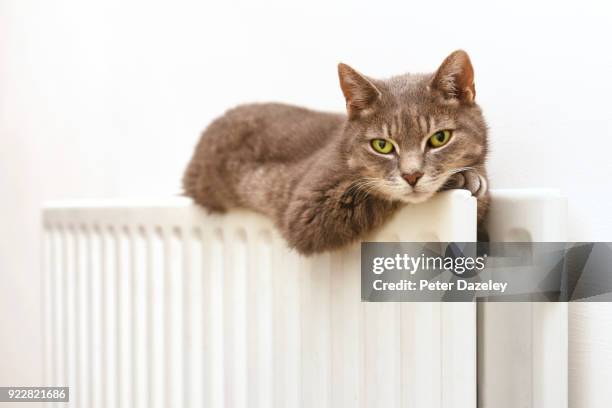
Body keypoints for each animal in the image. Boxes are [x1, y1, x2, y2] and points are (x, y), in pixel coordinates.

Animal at [184, 49, 490, 253]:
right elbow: (375, 192)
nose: (412, 175)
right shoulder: (307, 207)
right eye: (382, 145)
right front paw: (463, 178)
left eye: (439, 138)